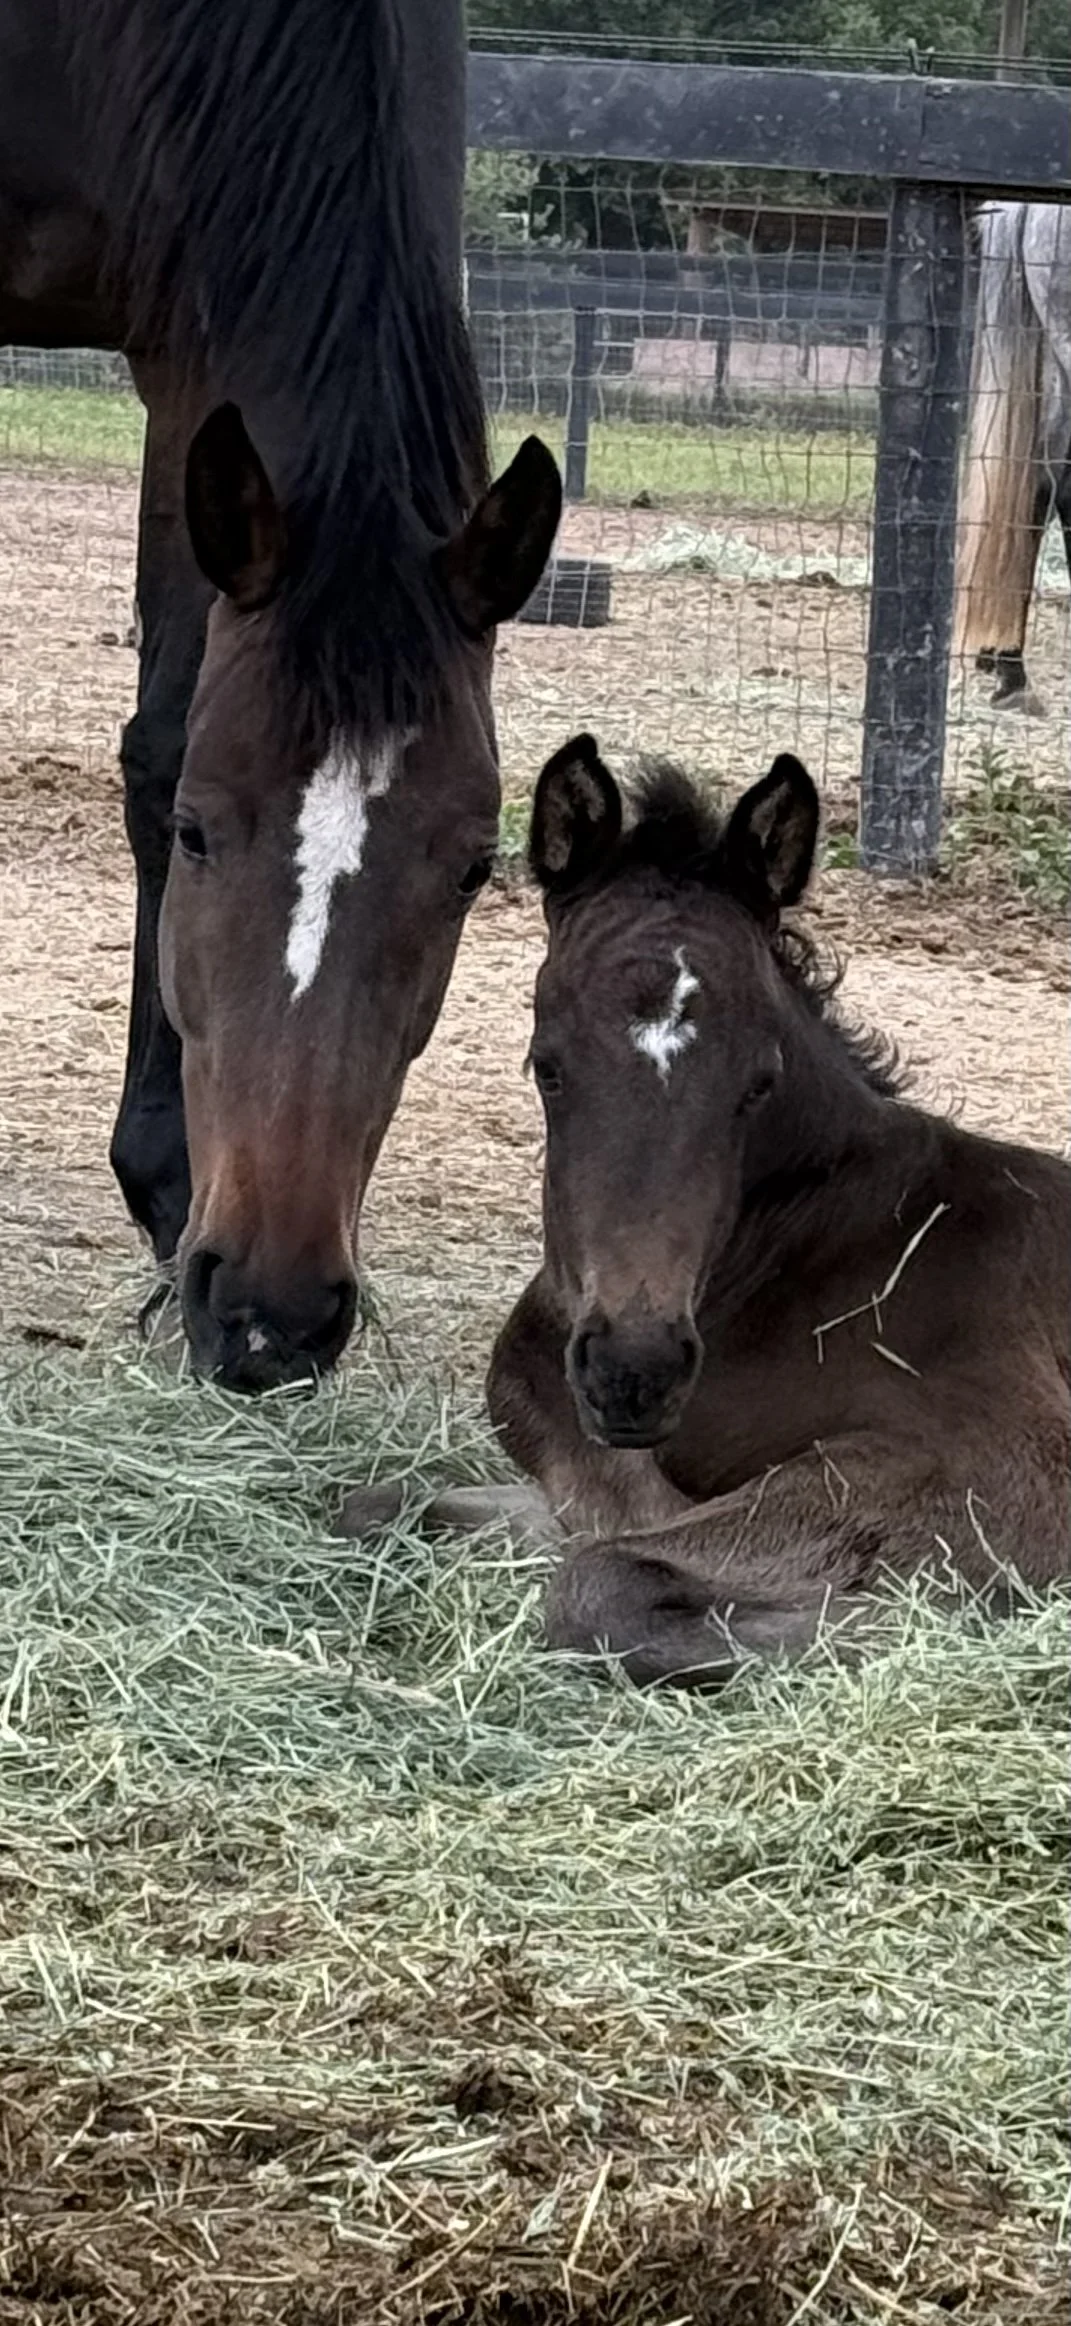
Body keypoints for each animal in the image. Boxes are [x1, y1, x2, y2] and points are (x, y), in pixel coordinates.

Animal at [0, 0, 561, 1389]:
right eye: (205, 833)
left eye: (474, 868)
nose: (271, 1314)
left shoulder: (189, 358)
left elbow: (160, 725)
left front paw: (163, 1192)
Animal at [341, 737, 1071, 1685]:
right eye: (546, 1065)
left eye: (758, 1082)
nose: (634, 1368)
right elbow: (388, 1504)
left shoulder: (987, 1458)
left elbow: (604, 1572)